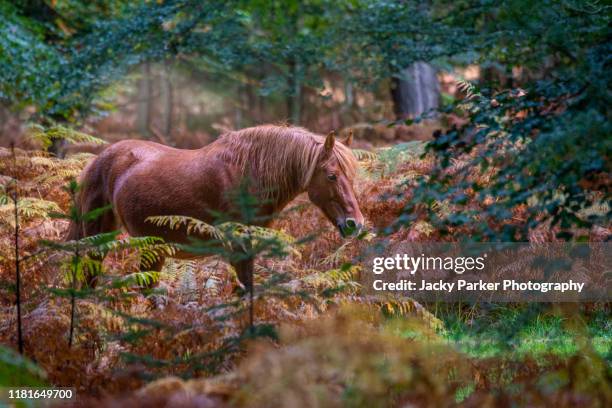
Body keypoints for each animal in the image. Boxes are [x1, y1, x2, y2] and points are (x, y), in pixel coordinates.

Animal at [67, 126, 364, 288]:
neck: (247, 173)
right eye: (332, 176)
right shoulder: (238, 249)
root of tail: (98, 160)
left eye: (352, 176)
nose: (355, 224)